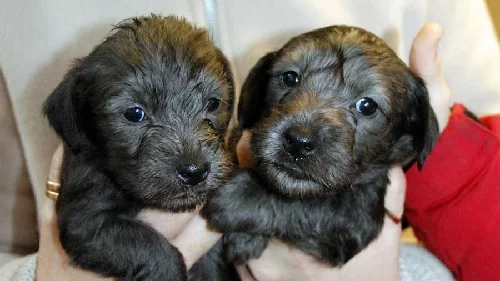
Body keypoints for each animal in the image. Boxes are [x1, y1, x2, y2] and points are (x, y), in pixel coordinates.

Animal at [199, 24, 438, 276]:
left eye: (367, 106)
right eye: (289, 78)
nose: (298, 142)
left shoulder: (356, 219)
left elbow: (312, 204)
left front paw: (240, 196)